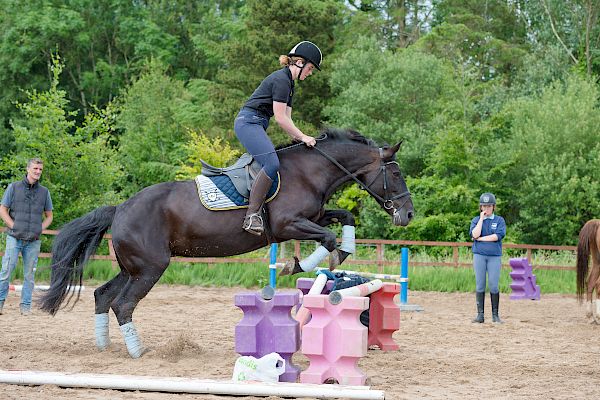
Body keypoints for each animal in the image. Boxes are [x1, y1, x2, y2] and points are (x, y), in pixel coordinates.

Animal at [37, 127, 412, 356]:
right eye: (395, 173)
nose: (407, 214)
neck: (311, 171)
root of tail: (120, 208)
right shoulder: (289, 224)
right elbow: (328, 237)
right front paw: (298, 264)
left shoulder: (312, 218)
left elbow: (344, 219)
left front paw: (342, 253)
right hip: (151, 267)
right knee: (124, 303)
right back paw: (137, 351)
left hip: (134, 267)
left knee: (103, 295)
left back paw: (103, 346)